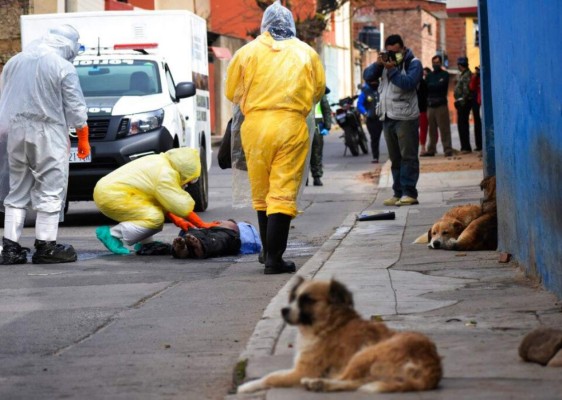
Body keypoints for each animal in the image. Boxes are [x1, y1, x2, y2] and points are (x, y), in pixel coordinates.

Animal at [234, 276, 440, 396]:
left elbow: (271, 377)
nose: (283, 310)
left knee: (345, 378)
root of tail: (431, 367)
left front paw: (247, 387)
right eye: (293, 298)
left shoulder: (303, 370)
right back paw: (319, 385)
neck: (330, 324)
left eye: (307, 300)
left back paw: (317, 383)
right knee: (352, 382)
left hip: (365, 353)